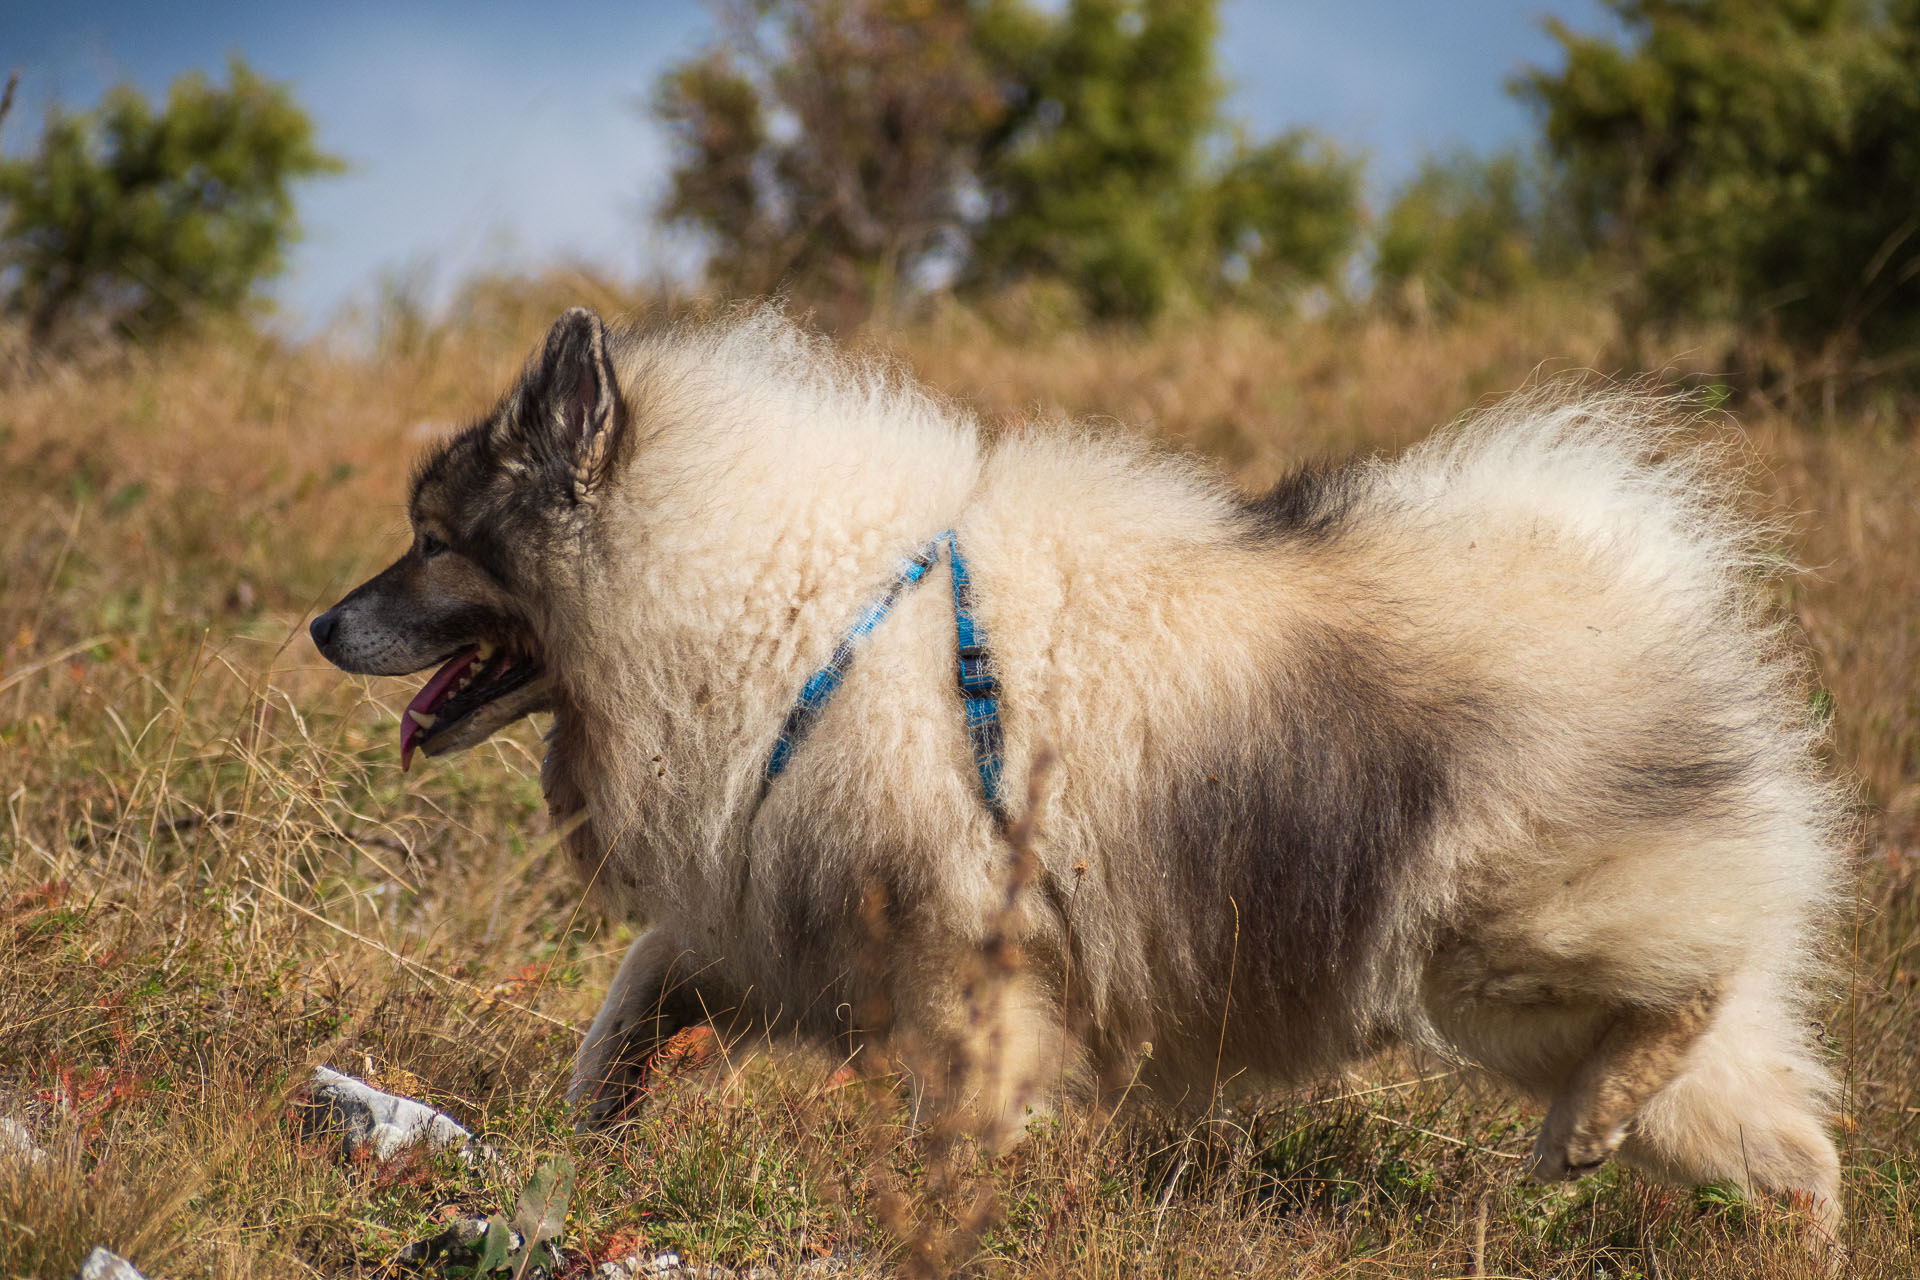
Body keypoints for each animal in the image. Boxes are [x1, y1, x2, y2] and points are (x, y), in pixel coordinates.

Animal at [311, 305, 1843, 1235]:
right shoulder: (763, 914)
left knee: (1694, 985)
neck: (798, 609)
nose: (324, 624)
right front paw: (577, 1139)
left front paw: (936, 1219)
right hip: (1520, 997)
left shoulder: (958, 961)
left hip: (1501, 947)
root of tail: (1640, 573)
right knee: (1786, 1141)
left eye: (436, 541)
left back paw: (1585, 1134)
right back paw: (1740, 1214)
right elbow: (625, 1011)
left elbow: (954, 1114)